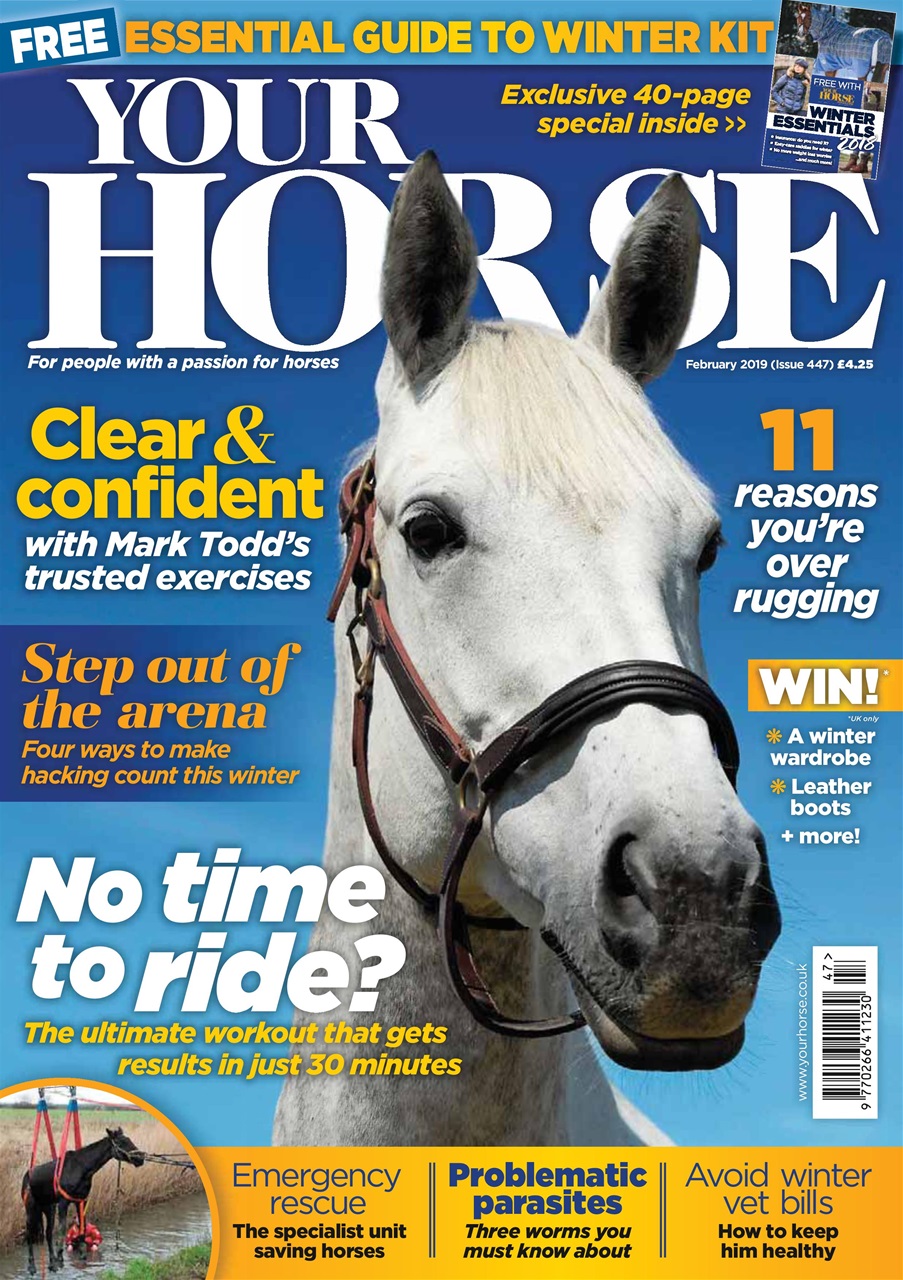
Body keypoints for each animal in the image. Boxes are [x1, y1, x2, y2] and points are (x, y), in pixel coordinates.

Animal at [22, 1127, 144, 1274]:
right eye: (121, 1143)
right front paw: (60, 1258)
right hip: (31, 1209)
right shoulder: (64, 1201)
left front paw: (82, 1255)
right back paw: (32, 1266)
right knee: (29, 1234)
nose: (141, 1158)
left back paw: (51, 1264)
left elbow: (82, 1228)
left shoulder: (81, 1200)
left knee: (48, 1233)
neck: (84, 1169)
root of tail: (26, 1176)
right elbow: (63, 1229)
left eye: (129, 1140)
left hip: (48, 1208)